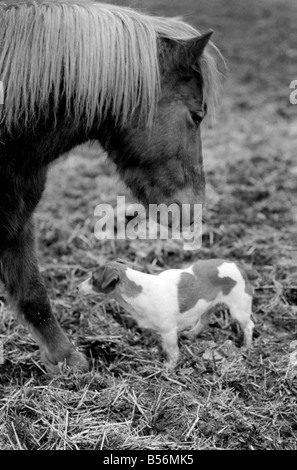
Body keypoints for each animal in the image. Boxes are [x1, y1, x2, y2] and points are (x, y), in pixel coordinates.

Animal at [78, 260, 254, 368]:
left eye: (93, 279)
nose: (77, 287)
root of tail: (238, 266)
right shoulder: (160, 331)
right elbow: (164, 346)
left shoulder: (169, 331)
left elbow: (172, 351)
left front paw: (169, 367)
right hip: (209, 305)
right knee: (204, 320)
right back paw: (191, 334)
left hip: (239, 309)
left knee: (249, 326)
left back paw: (245, 347)